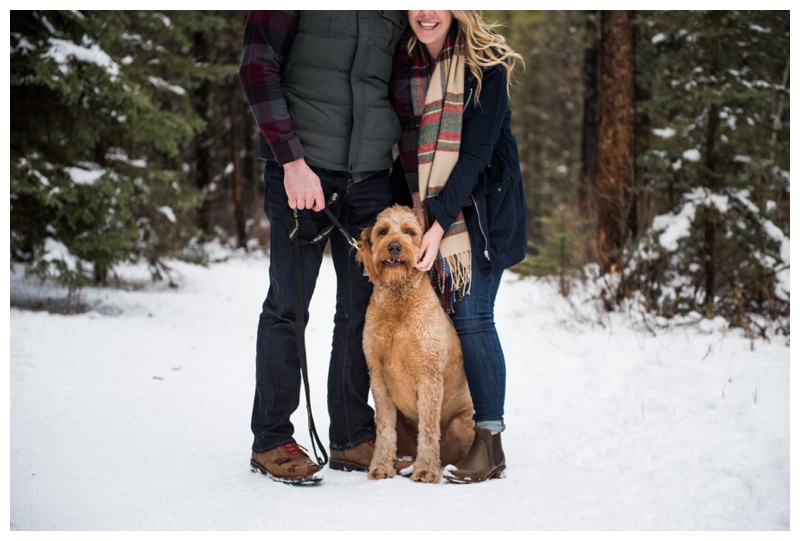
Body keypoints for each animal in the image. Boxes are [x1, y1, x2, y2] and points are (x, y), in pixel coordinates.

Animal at [356, 205, 476, 484]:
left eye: (410, 232)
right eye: (383, 231)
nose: (394, 247)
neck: (398, 298)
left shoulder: (429, 375)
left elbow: (429, 429)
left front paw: (426, 471)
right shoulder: (377, 374)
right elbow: (385, 428)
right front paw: (380, 466)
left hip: (462, 424)